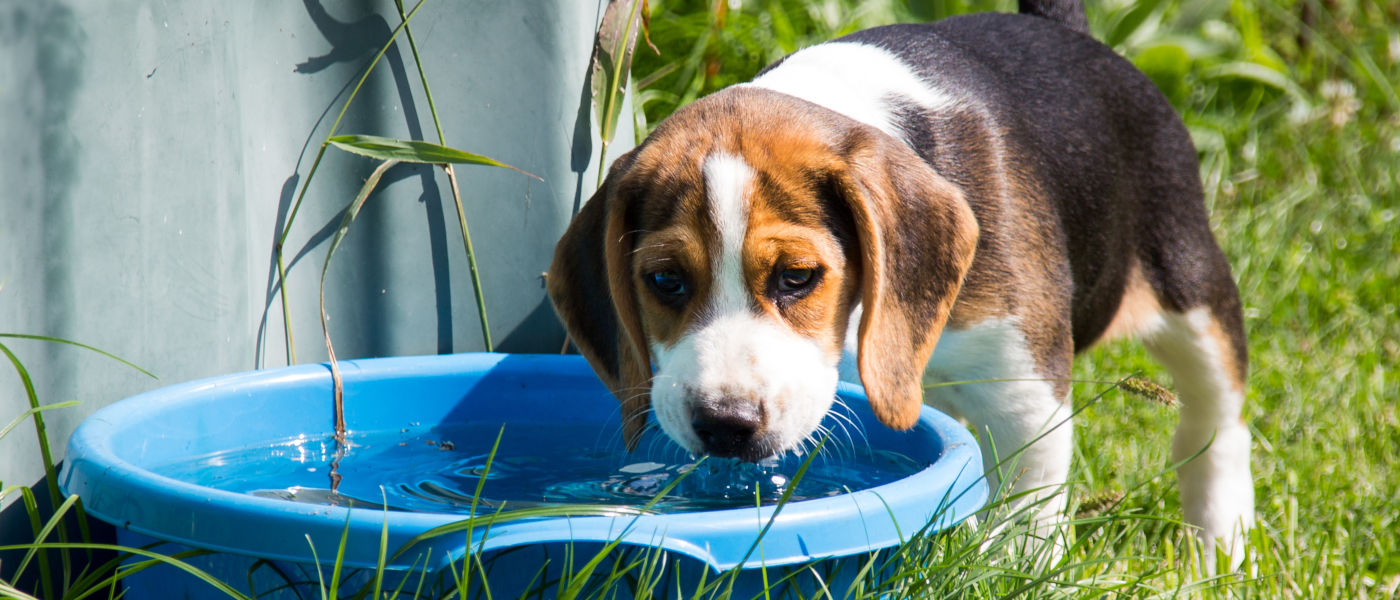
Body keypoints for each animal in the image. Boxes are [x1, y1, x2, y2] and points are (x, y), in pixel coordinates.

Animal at [543, 0, 1248, 565]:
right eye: (664, 279)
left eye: (797, 277)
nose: (725, 424)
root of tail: (1064, 32)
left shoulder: (1023, 393)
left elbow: (1025, 517)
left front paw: (1008, 566)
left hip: (1189, 279)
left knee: (1214, 420)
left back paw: (1219, 547)